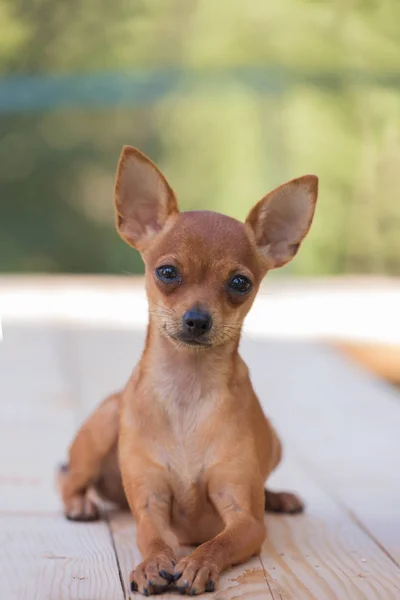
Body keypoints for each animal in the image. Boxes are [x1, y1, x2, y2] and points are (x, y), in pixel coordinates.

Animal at [58, 146, 318, 596]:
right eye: (167, 273)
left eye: (240, 283)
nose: (197, 319)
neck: (187, 390)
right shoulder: (150, 504)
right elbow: (153, 537)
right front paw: (153, 564)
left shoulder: (246, 520)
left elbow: (220, 541)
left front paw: (197, 563)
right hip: (106, 420)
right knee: (68, 478)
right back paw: (79, 503)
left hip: (275, 440)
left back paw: (278, 497)